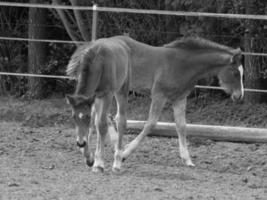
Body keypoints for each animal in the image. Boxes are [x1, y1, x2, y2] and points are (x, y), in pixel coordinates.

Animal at [65, 35, 245, 173]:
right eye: (235, 73)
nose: (239, 96)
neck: (183, 64)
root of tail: (93, 44)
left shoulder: (180, 98)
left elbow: (181, 126)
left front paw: (188, 160)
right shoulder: (159, 95)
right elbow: (150, 124)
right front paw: (125, 154)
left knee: (99, 118)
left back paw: (96, 152)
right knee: (105, 118)